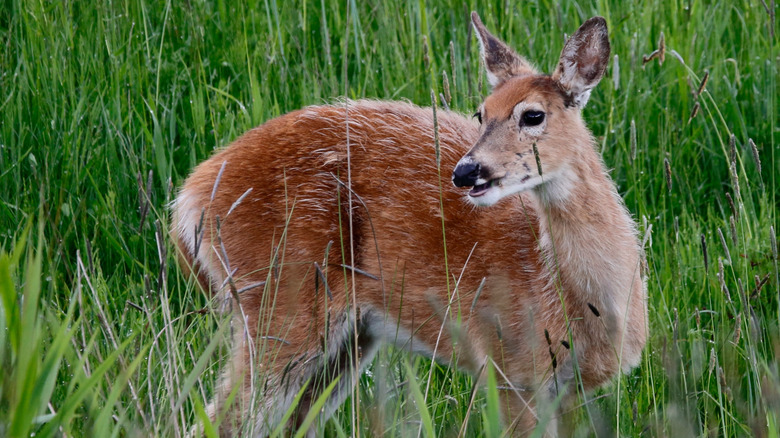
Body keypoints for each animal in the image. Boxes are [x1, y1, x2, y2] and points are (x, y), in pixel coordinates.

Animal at [172, 11, 647, 437]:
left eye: (533, 115)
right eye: (480, 113)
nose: (466, 172)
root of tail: (189, 198)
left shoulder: (566, 392)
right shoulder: (509, 368)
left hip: (346, 339)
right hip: (279, 305)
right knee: (218, 421)